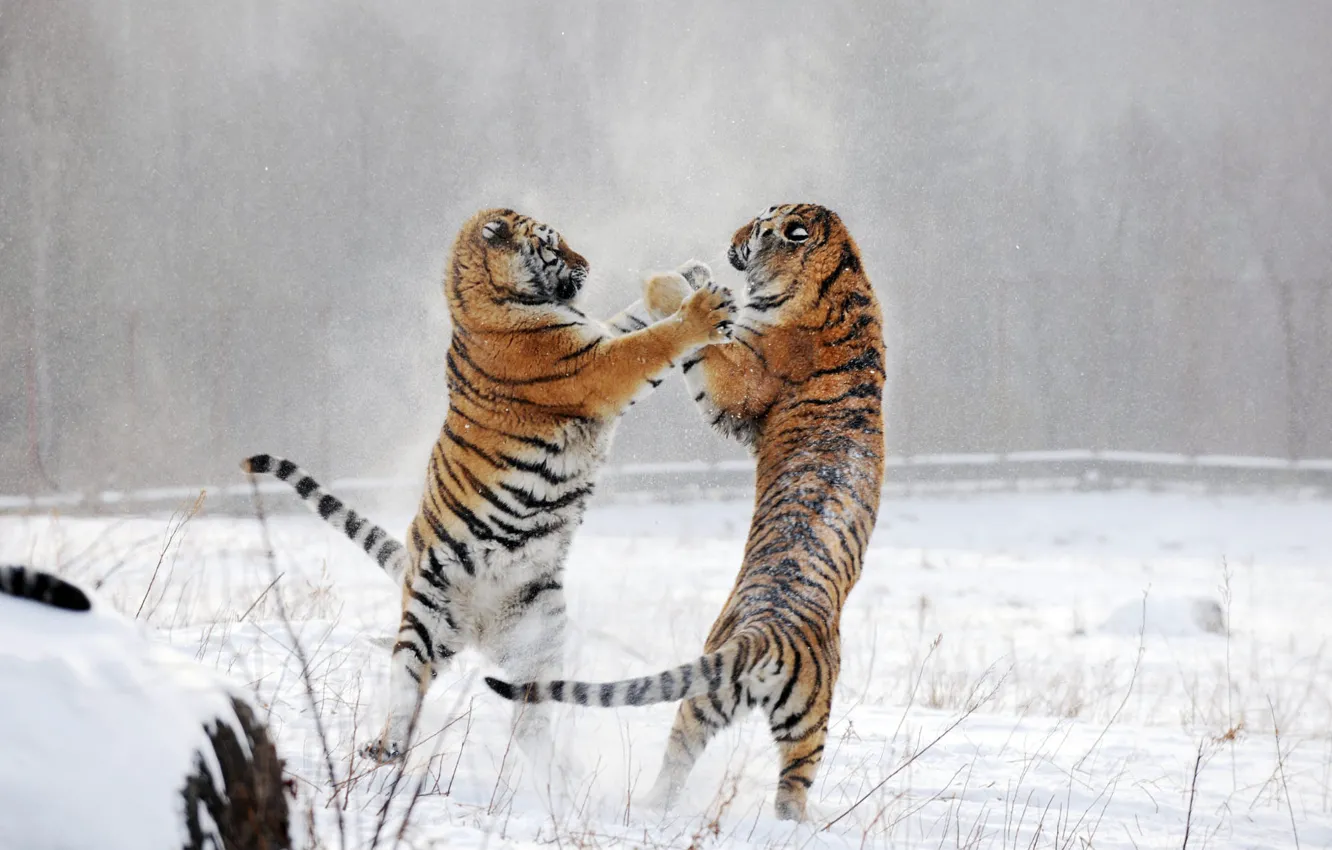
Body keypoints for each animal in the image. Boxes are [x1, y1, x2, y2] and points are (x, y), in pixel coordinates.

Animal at [242, 207, 737, 766]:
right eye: (552, 245)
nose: (587, 264)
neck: (494, 301)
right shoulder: (596, 367)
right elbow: (648, 343)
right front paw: (700, 307)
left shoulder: (594, 340)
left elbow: (632, 319)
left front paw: (687, 275)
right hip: (424, 624)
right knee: (406, 686)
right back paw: (385, 748)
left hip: (536, 634)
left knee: (532, 715)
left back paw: (554, 775)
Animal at [485, 204, 885, 821]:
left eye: (761, 224)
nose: (731, 237)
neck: (845, 276)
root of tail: (767, 638)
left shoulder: (739, 383)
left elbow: (706, 349)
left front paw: (673, 286)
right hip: (752, 712)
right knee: (731, 769)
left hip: (769, 715)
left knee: (735, 777)